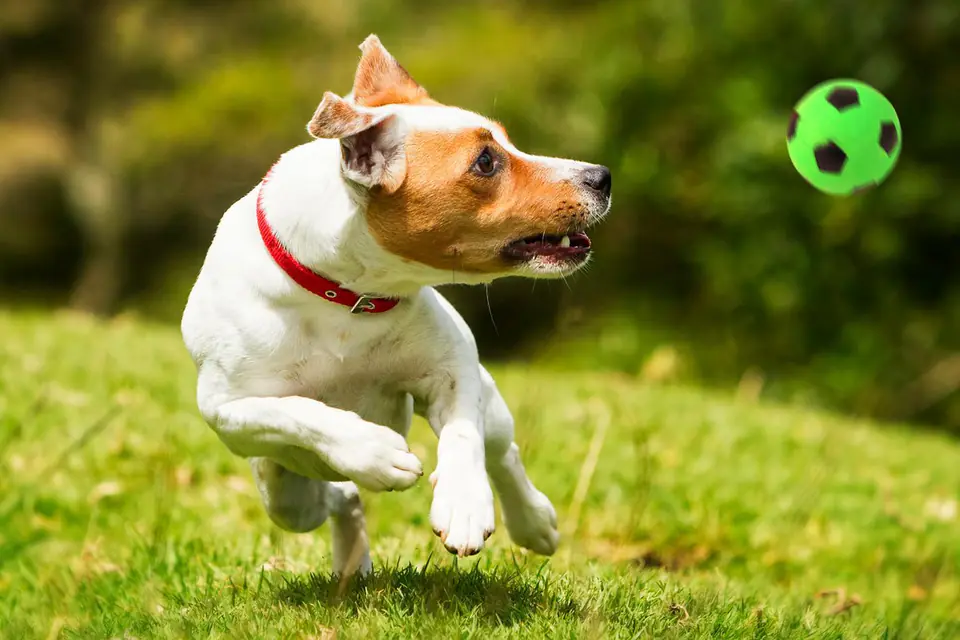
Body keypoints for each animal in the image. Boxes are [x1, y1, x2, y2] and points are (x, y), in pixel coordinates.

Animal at [184, 33, 612, 576]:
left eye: (508, 142)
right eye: (485, 161)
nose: (602, 176)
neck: (347, 295)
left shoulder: (454, 366)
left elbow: (464, 435)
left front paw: (464, 505)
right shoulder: (226, 409)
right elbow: (297, 411)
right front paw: (372, 450)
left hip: (491, 406)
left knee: (503, 451)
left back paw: (534, 521)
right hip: (286, 497)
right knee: (338, 498)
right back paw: (352, 561)